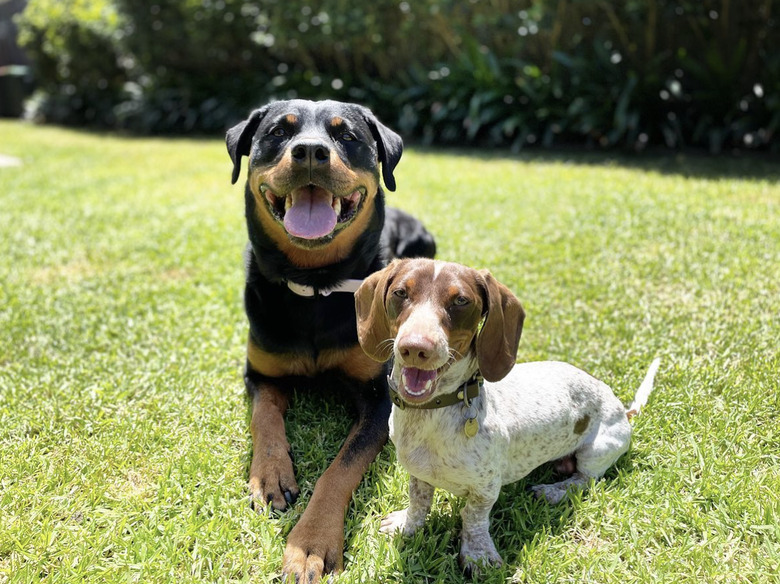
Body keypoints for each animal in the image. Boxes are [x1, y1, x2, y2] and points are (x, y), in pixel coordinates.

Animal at [225, 98, 436, 580]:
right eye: (277, 132)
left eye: (347, 136)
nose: (309, 151)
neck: (315, 284)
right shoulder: (260, 372)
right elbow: (265, 417)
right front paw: (269, 475)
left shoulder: (380, 399)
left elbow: (341, 466)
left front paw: (310, 544)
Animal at [356, 258, 660, 572]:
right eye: (401, 293)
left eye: (461, 300)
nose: (416, 348)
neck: (433, 413)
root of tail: (622, 408)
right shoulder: (418, 474)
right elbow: (419, 502)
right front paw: (407, 526)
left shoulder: (486, 488)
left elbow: (473, 517)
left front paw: (477, 555)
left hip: (597, 450)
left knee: (585, 480)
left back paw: (553, 491)